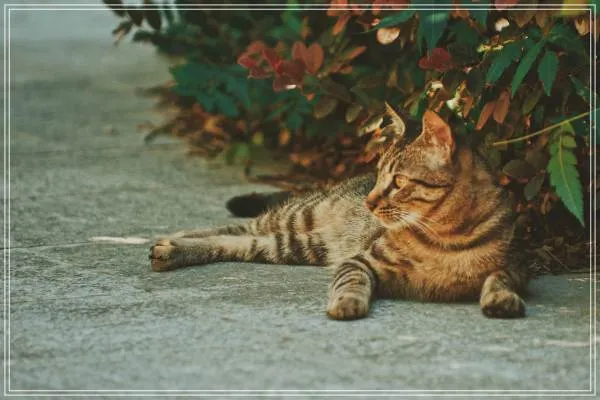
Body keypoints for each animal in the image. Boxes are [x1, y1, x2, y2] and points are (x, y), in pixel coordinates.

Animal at [149, 106, 529, 320]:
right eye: (379, 175)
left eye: (399, 181)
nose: (369, 202)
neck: (445, 238)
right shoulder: (360, 261)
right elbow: (350, 281)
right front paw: (347, 303)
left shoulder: (516, 267)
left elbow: (500, 279)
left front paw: (502, 299)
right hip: (298, 217)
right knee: (236, 228)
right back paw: (173, 241)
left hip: (297, 245)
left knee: (239, 241)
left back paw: (172, 248)